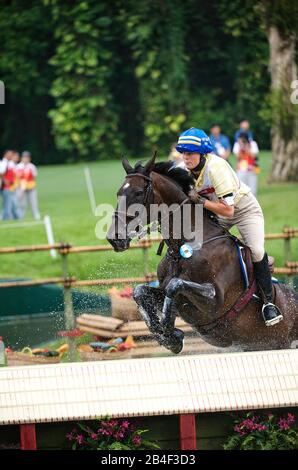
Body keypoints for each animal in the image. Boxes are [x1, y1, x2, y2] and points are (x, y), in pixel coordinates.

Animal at [107, 156, 298, 354]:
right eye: (118, 193)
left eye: (138, 193)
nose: (114, 238)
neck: (182, 249)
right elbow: (140, 291)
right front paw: (167, 335)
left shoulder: (215, 301)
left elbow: (175, 285)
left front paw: (169, 331)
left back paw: (271, 312)